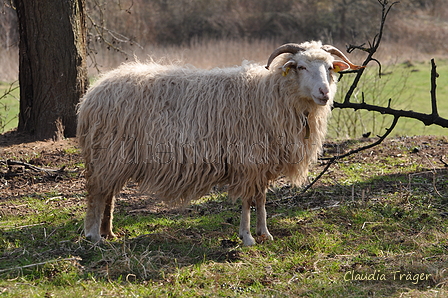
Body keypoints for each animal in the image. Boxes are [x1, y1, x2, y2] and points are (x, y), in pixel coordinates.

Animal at [78, 40, 364, 246]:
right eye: (301, 67)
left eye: (330, 68)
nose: (324, 93)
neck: (272, 96)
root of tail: (92, 93)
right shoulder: (248, 162)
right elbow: (247, 201)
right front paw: (247, 237)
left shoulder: (262, 164)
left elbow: (261, 200)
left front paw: (265, 233)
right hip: (107, 153)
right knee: (97, 193)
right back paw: (94, 236)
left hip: (114, 158)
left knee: (108, 194)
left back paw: (109, 232)